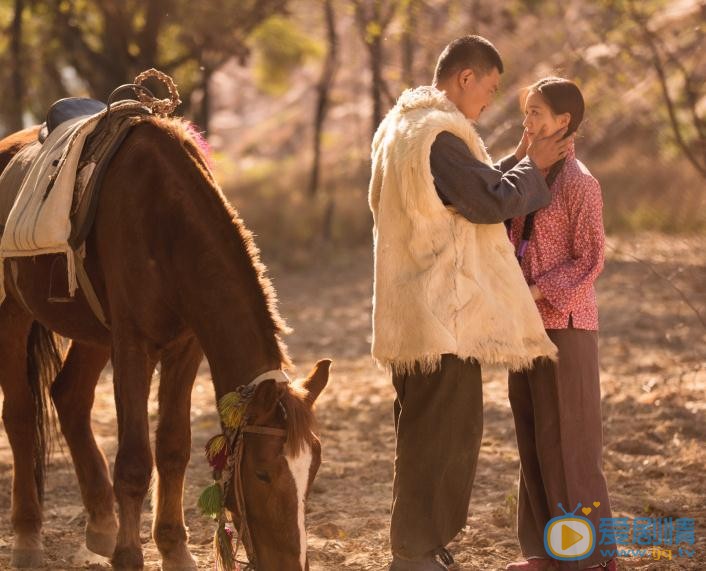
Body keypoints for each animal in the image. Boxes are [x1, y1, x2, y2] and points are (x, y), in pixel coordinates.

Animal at [0, 119, 330, 568]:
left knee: (69, 398)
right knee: (19, 416)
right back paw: (27, 535)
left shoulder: (185, 348)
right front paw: (128, 555)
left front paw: (174, 548)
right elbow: (134, 462)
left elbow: (173, 448)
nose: (292, 565)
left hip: (94, 335)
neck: (165, 220)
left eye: (312, 470)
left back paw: (101, 524)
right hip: (13, 314)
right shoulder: (133, 347)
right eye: (263, 473)